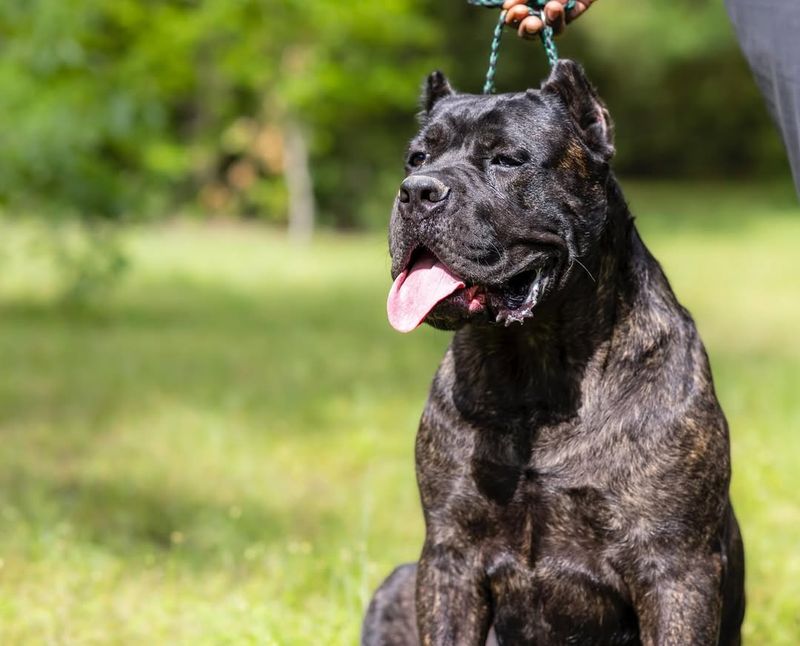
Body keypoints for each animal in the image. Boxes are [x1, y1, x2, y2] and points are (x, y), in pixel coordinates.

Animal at [360, 62, 748, 646]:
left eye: (507, 159)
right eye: (416, 158)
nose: (417, 192)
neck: (535, 370)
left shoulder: (677, 568)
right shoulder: (450, 557)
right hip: (398, 583)